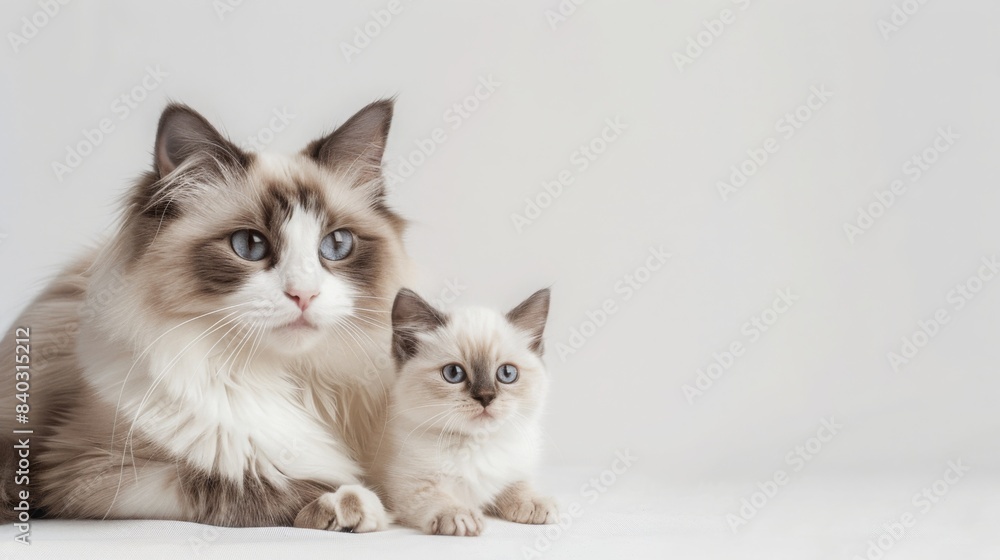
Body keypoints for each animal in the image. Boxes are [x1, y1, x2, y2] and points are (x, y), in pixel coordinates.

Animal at [0, 98, 410, 532]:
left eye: (336, 245)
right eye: (249, 245)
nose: (304, 293)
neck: (291, 378)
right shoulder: (88, 473)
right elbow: (240, 482)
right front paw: (350, 501)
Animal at [376, 286, 564, 536]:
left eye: (507, 373)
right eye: (453, 373)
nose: (486, 397)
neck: (477, 444)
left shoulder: (510, 471)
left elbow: (517, 484)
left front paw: (534, 503)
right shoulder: (407, 486)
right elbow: (435, 496)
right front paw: (459, 516)